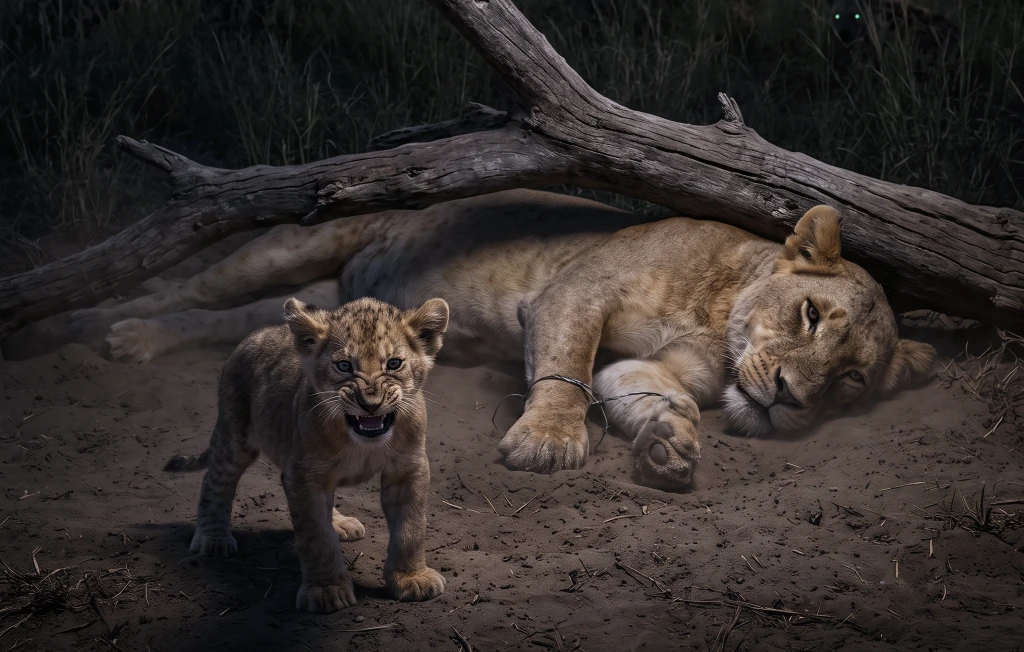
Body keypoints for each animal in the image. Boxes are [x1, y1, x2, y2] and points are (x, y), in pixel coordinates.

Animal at [72, 189, 936, 490]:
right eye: (810, 316)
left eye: (852, 381)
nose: (788, 397)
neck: (718, 315)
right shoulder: (575, 291)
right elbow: (564, 368)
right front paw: (548, 441)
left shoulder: (647, 363)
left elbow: (643, 391)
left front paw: (668, 444)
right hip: (298, 236)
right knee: (191, 286)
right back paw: (107, 323)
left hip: (316, 306)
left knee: (232, 320)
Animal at [163, 296, 450, 613]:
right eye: (344, 366)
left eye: (394, 364)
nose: (370, 403)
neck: (362, 442)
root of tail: (257, 334)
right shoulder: (303, 476)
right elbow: (316, 536)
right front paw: (326, 590)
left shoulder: (408, 469)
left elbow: (410, 528)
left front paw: (411, 578)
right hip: (234, 433)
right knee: (215, 480)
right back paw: (213, 538)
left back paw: (339, 523)